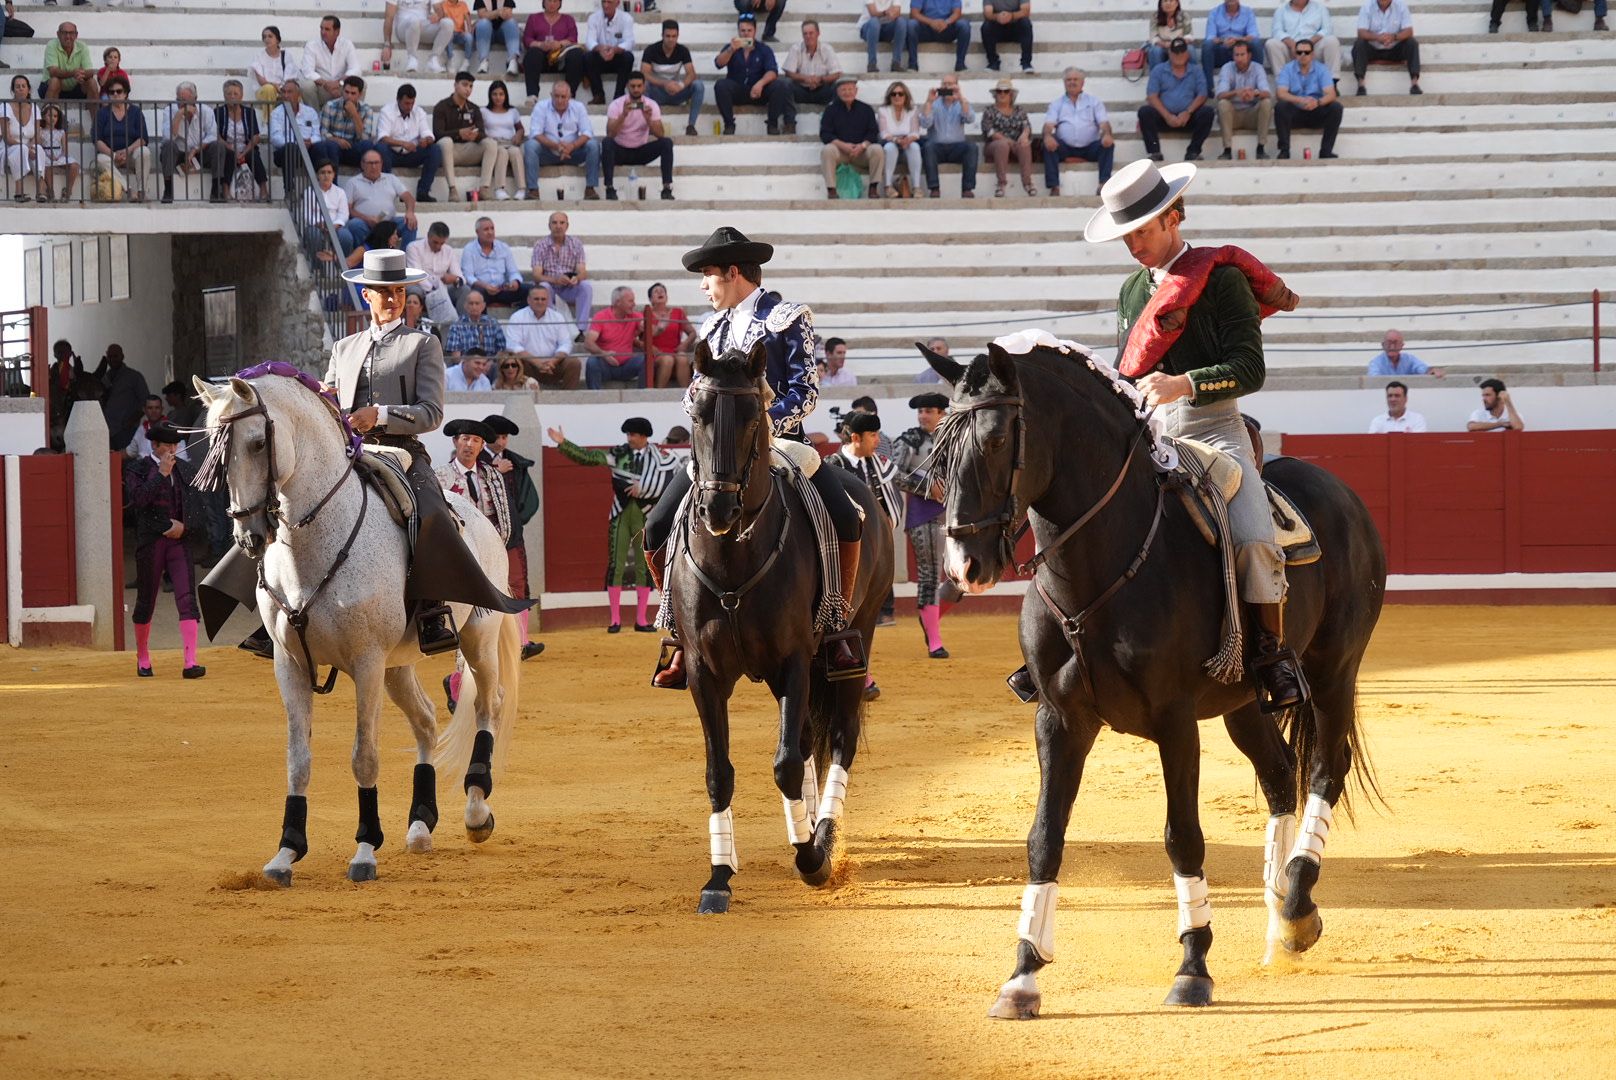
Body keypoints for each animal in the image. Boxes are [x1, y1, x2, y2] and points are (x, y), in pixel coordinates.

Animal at [193, 371, 523, 885]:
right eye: (214, 448)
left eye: (256, 443)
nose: (249, 537)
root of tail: (480, 519)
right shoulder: (290, 666)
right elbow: (298, 761)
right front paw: (286, 853)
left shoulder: (366, 662)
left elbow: (364, 756)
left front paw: (366, 850)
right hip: (398, 665)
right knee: (427, 720)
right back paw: (419, 826)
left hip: (476, 639)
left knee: (488, 704)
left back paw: (475, 811)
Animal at [669, 337, 898, 911]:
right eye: (697, 413)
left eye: (754, 415)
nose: (719, 507)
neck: (733, 555)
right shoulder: (703, 673)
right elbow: (719, 771)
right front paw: (719, 875)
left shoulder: (794, 658)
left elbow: (786, 763)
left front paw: (812, 860)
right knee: (812, 736)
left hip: (853, 642)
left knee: (838, 736)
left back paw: (824, 834)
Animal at [924, 341, 1389, 1015]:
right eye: (938, 451)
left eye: (994, 439)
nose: (964, 566)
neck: (1098, 569)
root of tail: (1339, 490)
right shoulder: (1059, 720)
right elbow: (1044, 838)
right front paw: (1023, 974)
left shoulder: (1174, 721)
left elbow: (1182, 836)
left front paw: (1193, 967)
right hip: (1245, 703)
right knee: (1281, 776)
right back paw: (1277, 922)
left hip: (1334, 669)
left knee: (1327, 767)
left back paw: (1298, 909)